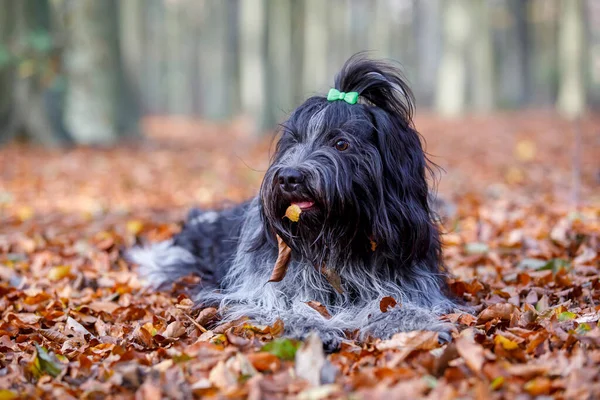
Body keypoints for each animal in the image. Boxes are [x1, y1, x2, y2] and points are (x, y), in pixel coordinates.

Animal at [131, 54, 458, 348]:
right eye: (293, 141)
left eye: (341, 143)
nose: (289, 177)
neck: (340, 241)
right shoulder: (262, 289)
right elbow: (284, 307)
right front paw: (311, 327)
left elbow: (395, 302)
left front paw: (416, 325)